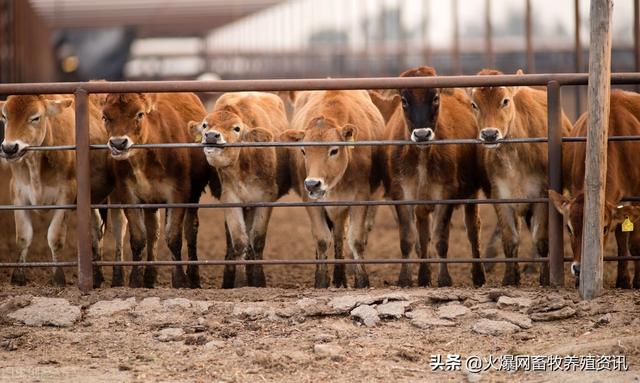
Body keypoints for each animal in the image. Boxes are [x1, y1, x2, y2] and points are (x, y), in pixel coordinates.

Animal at [102, 92, 218, 288]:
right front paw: (135, 280)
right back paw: (149, 277)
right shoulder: (128, 194)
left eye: (140, 114)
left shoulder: (178, 193)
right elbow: (138, 238)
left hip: (193, 195)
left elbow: (173, 237)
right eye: (105, 116)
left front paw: (179, 280)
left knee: (190, 230)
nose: (118, 143)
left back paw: (193, 277)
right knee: (152, 232)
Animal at [384, 67, 490, 288]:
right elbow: (408, 238)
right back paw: (424, 276)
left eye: (435, 98)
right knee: (423, 233)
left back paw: (478, 275)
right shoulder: (401, 193)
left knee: (473, 229)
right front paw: (405, 278)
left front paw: (444, 278)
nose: (422, 134)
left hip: (470, 194)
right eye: (404, 100)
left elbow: (441, 238)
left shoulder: (446, 193)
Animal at [468, 69, 572, 286]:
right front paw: (510, 278)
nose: (489, 134)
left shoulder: (542, 196)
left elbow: (541, 239)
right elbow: (510, 239)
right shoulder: (500, 196)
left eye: (505, 101)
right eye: (474, 104)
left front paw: (545, 278)